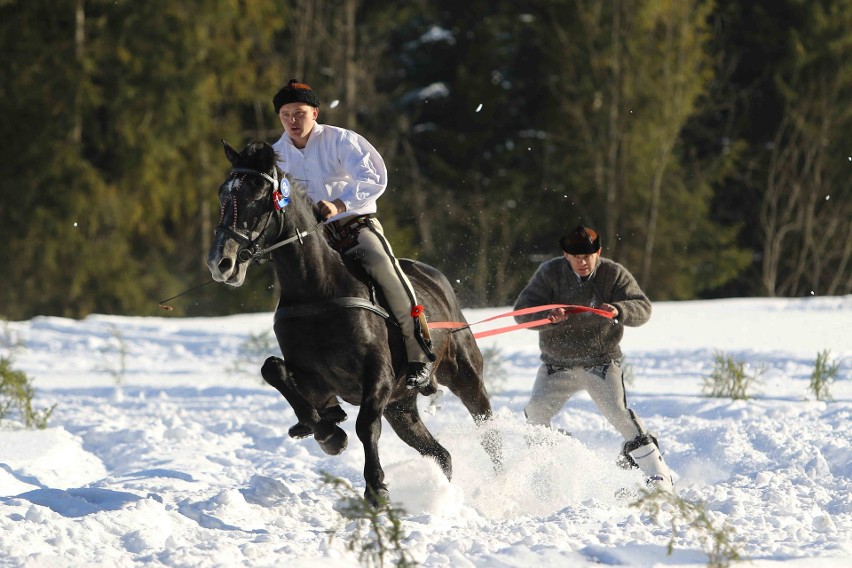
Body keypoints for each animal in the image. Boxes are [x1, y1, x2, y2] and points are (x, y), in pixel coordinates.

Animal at [206, 140, 500, 504]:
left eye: (258, 196)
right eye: (223, 194)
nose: (221, 262)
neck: (317, 291)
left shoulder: (378, 376)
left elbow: (365, 426)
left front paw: (376, 487)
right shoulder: (314, 378)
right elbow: (273, 370)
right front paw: (329, 433)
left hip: (464, 375)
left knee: (488, 432)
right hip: (402, 408)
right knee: (440, 454)